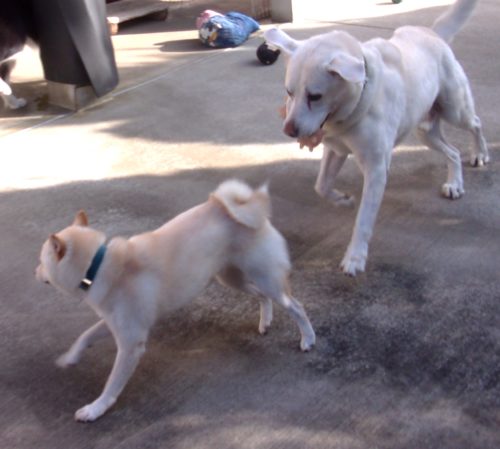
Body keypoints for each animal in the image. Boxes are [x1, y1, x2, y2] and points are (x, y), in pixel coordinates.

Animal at [36, 180, 316, 422]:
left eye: (41, 261)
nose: (35, 272)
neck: (98, 265)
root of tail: (248, 208)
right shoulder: (115, 323)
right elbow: (85, 336)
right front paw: (70, 358)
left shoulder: (131, 342)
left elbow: (112, 384)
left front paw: (96, 409)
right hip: (232, 279)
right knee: (263, 297)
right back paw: (265, 321)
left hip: (266, 279)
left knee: (296, 306)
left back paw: (308, 339)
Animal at [264, 0, 489, 276]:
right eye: (289, 92)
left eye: (315, 96)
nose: (289, 131)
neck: (353, 105)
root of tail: (433, 33)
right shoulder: (336, 150)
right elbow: (321, 186)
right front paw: (343, 200)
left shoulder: (376, 168)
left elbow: (363, 219)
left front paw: (355, 257)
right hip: (425, 132)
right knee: (454, 152)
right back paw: (455, 183)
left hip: (455, 111)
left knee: (475, 124)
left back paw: (480, 153)